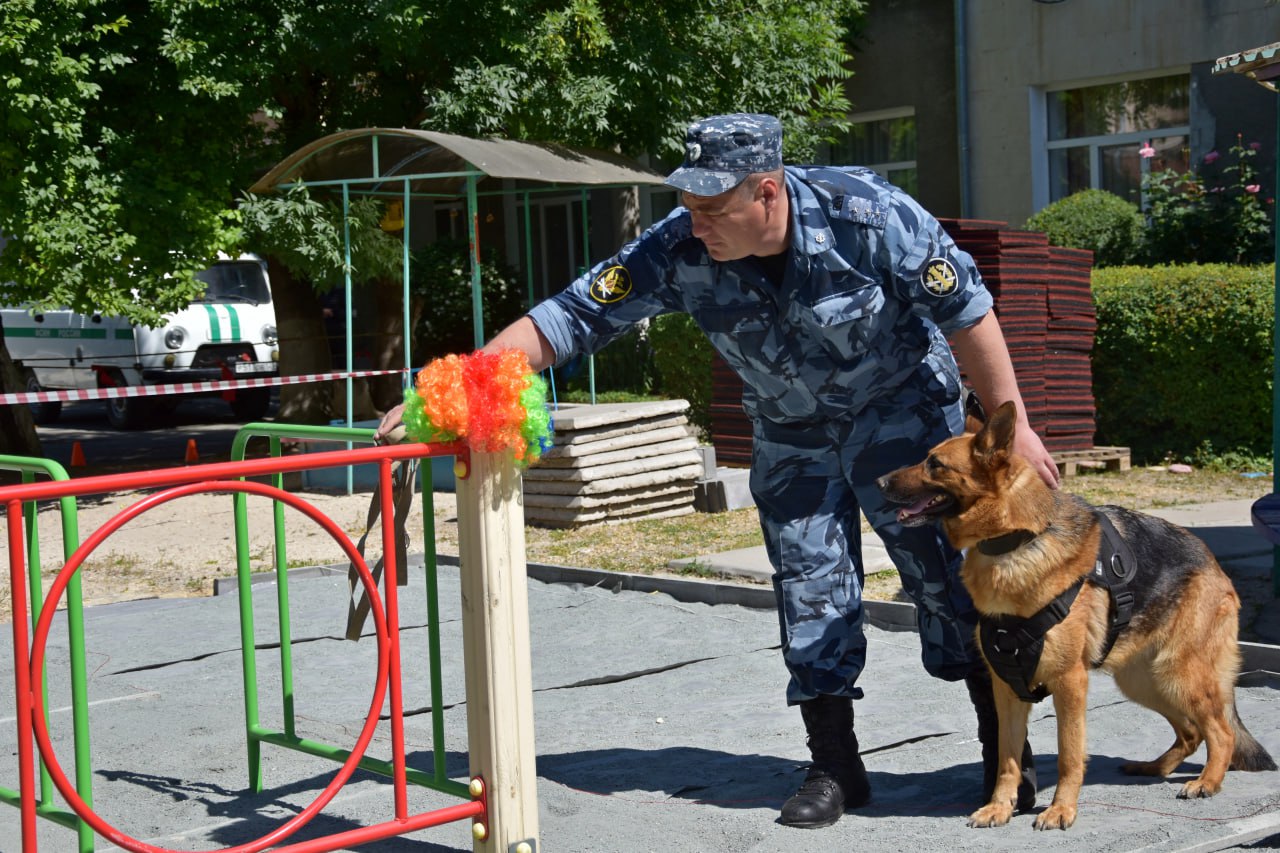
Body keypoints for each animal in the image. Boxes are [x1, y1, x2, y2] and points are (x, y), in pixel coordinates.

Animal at [875, 402, 1274, 824]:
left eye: (934, 464)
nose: (879, 481)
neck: (1015, 542)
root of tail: (1214, 564)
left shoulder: (1069, 683)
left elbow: (1069, 754)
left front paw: (1061, 809)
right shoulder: (1006, 688)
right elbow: (1007, 758)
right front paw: (999, 806)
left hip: (1179, 675)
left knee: (1220, 731)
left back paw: (1207, 782)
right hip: (1144, 680)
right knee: (1191, 732)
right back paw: (1154, 767)